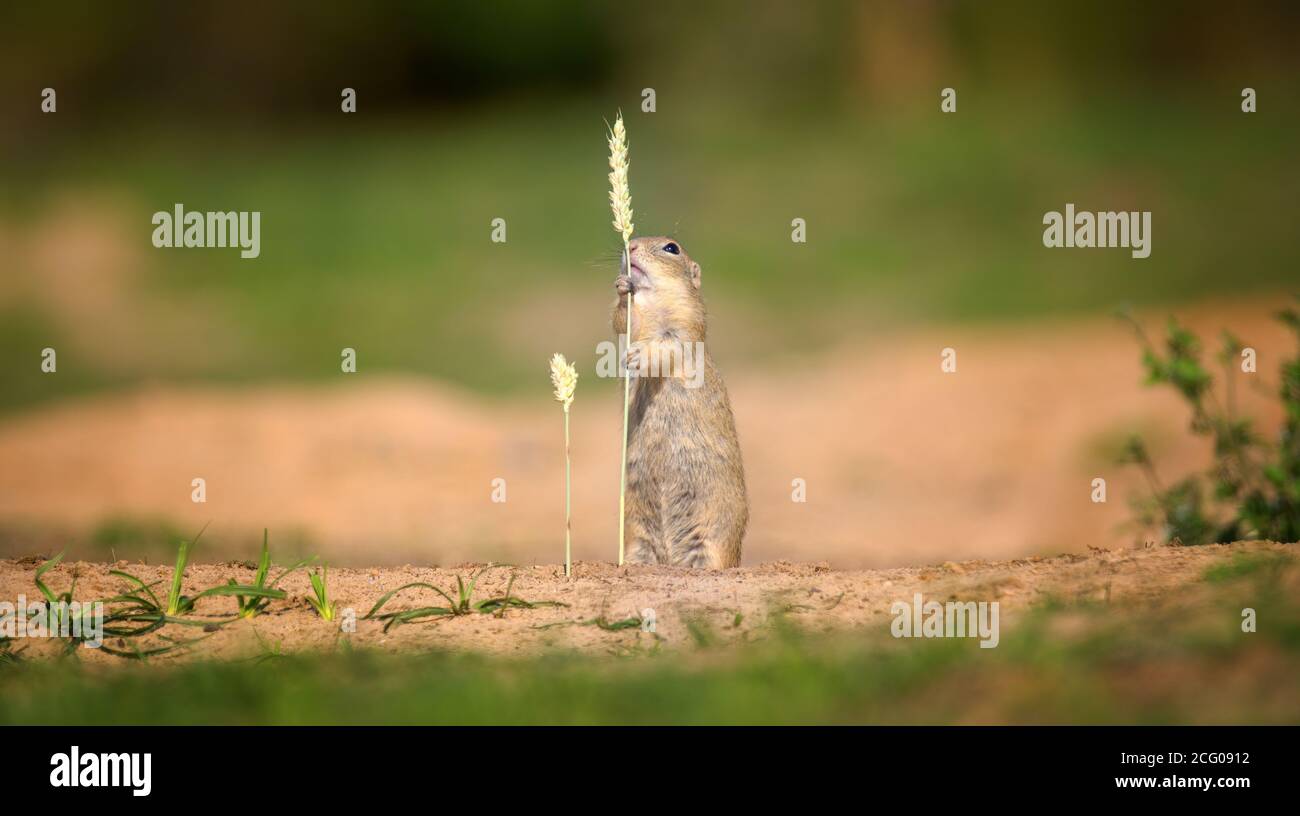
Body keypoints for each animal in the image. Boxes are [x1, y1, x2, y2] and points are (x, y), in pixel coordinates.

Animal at [611, 233, 748, 566]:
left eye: (671, 248)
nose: (630, 245)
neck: (653, 300)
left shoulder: (685, 324)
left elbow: (667, 346)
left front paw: (637, 356)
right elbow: (622, 322)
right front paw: (622, 287)